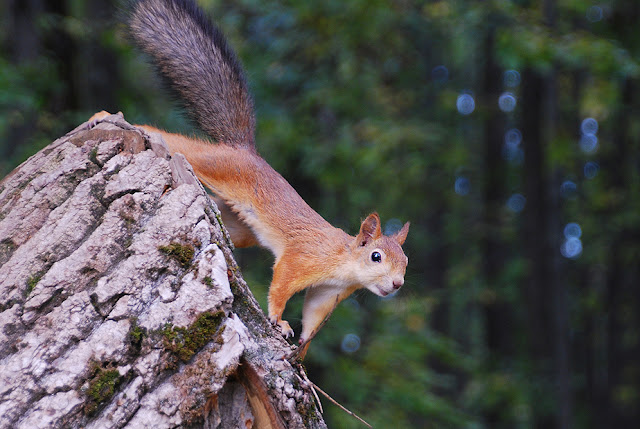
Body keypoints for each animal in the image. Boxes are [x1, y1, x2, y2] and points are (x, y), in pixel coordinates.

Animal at [90, 0, 410, 358]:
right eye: (376, 256)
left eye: (406, 262)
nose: (397, 284)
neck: (343, 261)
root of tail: (245, 151)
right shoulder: (303, 259)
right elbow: (281, 285)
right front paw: (279, 322)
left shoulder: (328, 292)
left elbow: (313, 315)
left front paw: (301, 349)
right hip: (217, 164)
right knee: (174, 142)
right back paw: (105, 117)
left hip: (239, 226)